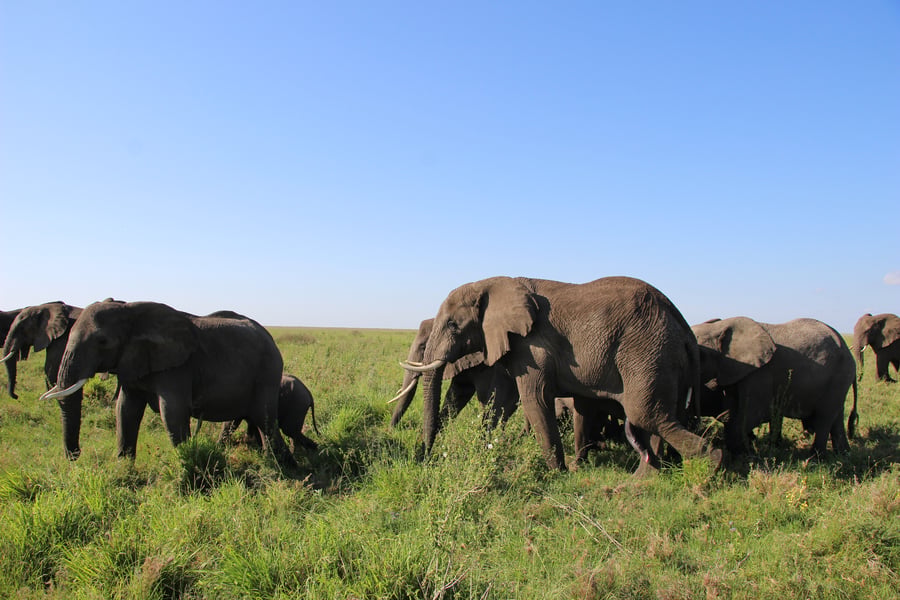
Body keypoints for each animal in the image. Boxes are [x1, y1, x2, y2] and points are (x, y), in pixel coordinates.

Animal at [1, 302, 84, 459]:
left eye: (22, 328)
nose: (16, 396)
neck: (43, 306)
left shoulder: (60, 341)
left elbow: (50, 370)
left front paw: (49, 404)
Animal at [40, 300, 295, 467]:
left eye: (102, 341)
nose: (75, 457)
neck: (130, 311)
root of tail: (270, 337)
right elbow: (125, 409)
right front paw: (123, 467)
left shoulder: (176, 368)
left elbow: (171, 412)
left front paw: (186, 465)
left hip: (267, 371)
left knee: (264, 418)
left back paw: (280, 465)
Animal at [403, 276, 721, 475]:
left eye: (453, 325)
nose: (426, 457)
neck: (491, 283)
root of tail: (684, 326)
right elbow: (506, 401)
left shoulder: (533, 345)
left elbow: (535, 398)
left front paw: (558, 474)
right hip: (663, 359)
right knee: (661, 416)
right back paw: (644, 479)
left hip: (647, 352)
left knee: (646, 414)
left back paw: (712, 465)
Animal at [692, 317, 858, 457]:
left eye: (701, 355)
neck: (719, 326)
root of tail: (846, 348)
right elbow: (732, 413)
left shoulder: (760, 372)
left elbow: (753, 414)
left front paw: (743, 457)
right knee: (836, 417)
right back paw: (843, 455)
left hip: (839, 376)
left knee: (825, 417)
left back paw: (815, 459)